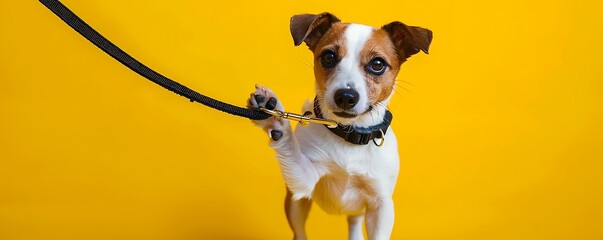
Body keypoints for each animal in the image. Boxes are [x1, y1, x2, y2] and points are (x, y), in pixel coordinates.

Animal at [248, 13, 432, 240]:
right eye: (329, 56)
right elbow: (291, 149)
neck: (349, 134)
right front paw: (274, 117)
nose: (346, 96)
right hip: (295, 206)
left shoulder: (381, 206)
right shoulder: (305, 180)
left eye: (377, 64)